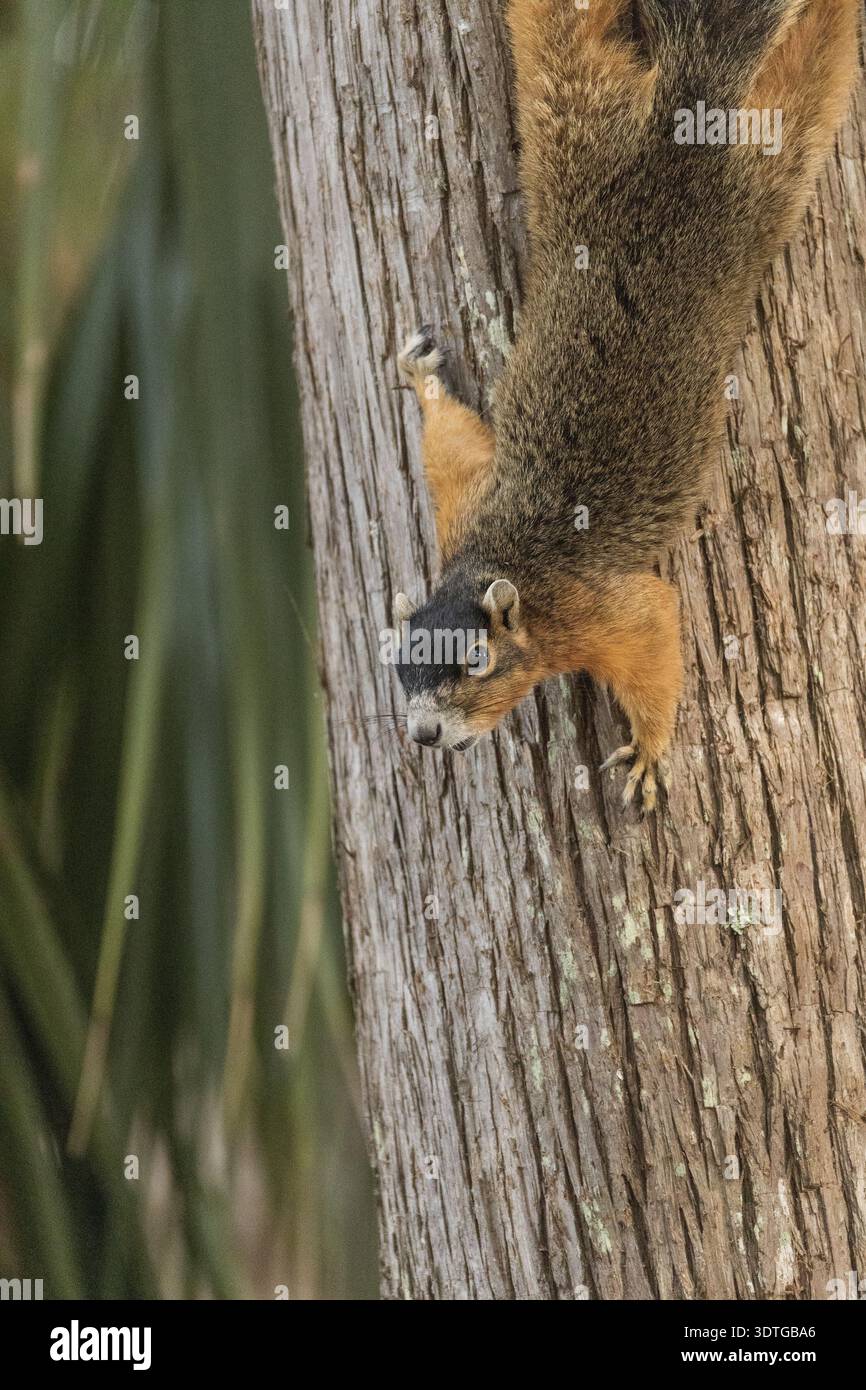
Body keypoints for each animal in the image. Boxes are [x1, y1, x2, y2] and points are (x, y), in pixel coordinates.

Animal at [393, 0, 860, 811]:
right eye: (398, 664)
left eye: (477, 662)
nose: (423, 735)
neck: (499, 558)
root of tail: (679, 126)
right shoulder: (465, 503)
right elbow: (453, 444)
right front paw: (423, 380)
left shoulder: (597, 610)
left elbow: (654, 634)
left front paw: (648, 750)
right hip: (574, 113)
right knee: (558, 30)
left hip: (768, 174)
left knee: (813, 69)